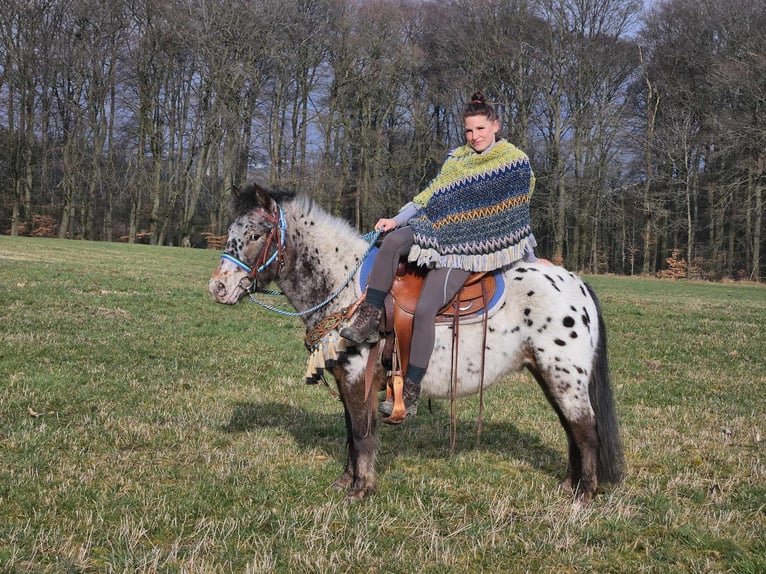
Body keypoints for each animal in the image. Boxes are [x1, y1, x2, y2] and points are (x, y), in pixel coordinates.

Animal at [208, 184, 624, 504]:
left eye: (256, 235)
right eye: (231, 231)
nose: (218, 287)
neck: (348, 289)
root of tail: (578, 284)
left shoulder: (358, 377)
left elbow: (361, 433)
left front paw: (360, 489)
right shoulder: (346, 378)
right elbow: (350, 431)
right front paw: (347, 481)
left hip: (564, 375)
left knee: (585, 430)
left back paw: (584, 497)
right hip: (548, 374)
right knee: (571, 429)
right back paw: (569, 487)